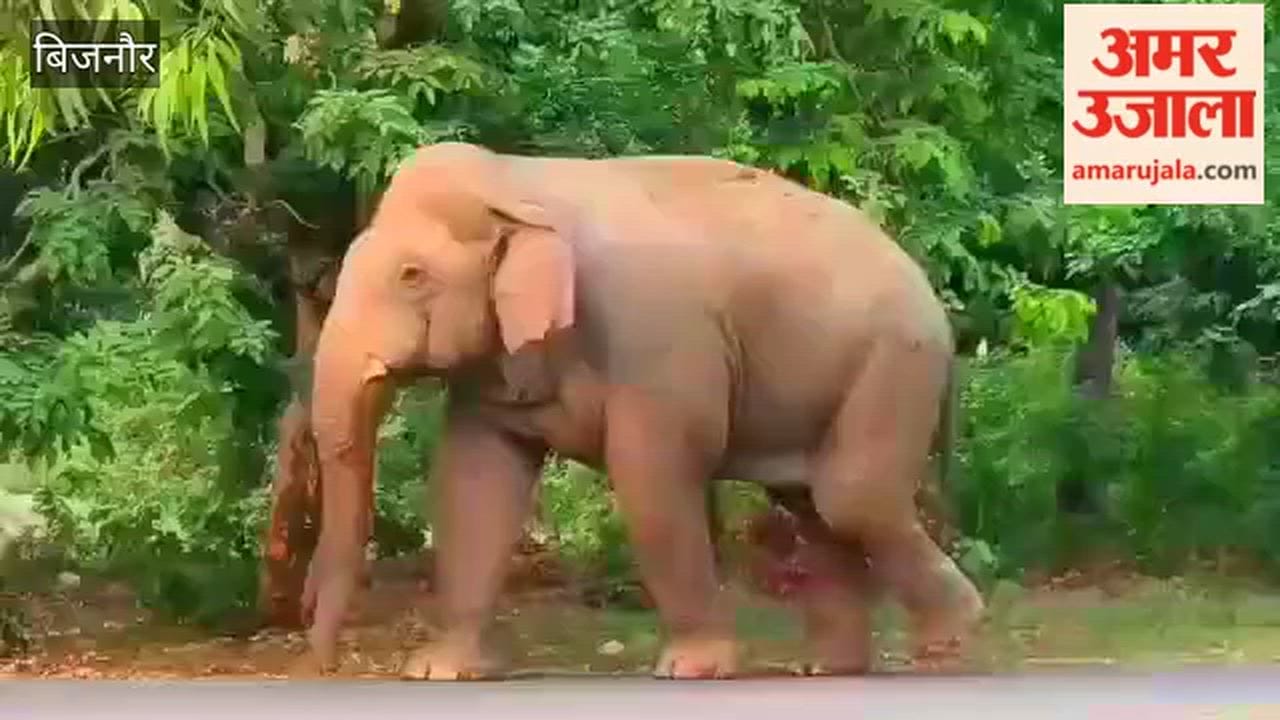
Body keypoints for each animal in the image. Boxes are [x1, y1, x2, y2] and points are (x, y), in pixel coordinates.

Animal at [300, 141, 985, 679]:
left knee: (852, 499)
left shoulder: (653, 341)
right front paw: (440, 671)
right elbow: (477, 482)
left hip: (893, 365)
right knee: (813, 505)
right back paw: (830, 667)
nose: (324, 662)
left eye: (412, 276)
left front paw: (692, 668)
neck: (518, 181)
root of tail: (938, 307)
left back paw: (951, 642)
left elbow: (650, 475)